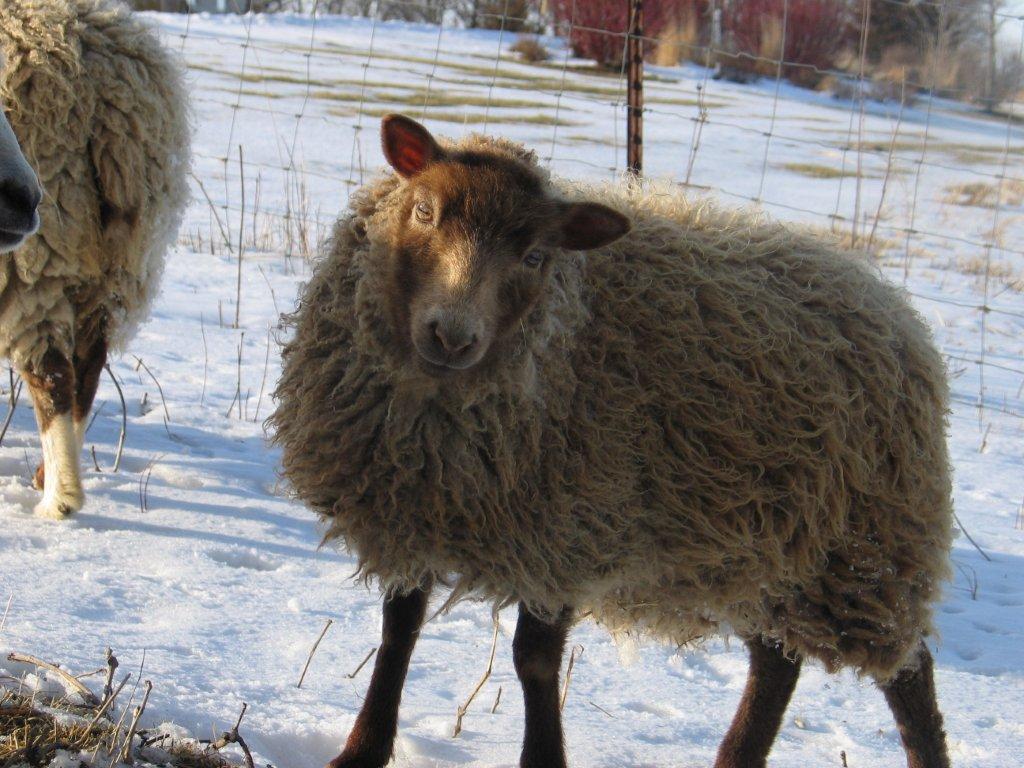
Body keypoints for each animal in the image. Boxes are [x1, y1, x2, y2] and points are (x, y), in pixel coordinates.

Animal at [0, 0, 190, 518]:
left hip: (40, 254)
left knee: (53, 375)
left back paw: (59, 500)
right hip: (115, 262)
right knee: (88, 364)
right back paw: (48, 478)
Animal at [270, 114, 954, 768]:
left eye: (535, 256)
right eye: (423, 211)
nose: (452, 336)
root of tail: (890, 303)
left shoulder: (565, 528)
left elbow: (534, 659)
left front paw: (543, 760)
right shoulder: (411, 510)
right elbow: (399, 631)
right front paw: (359, 752)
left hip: (863, 551)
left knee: (909, 673)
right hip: (765, 550)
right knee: (776, 661)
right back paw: (736, 758)